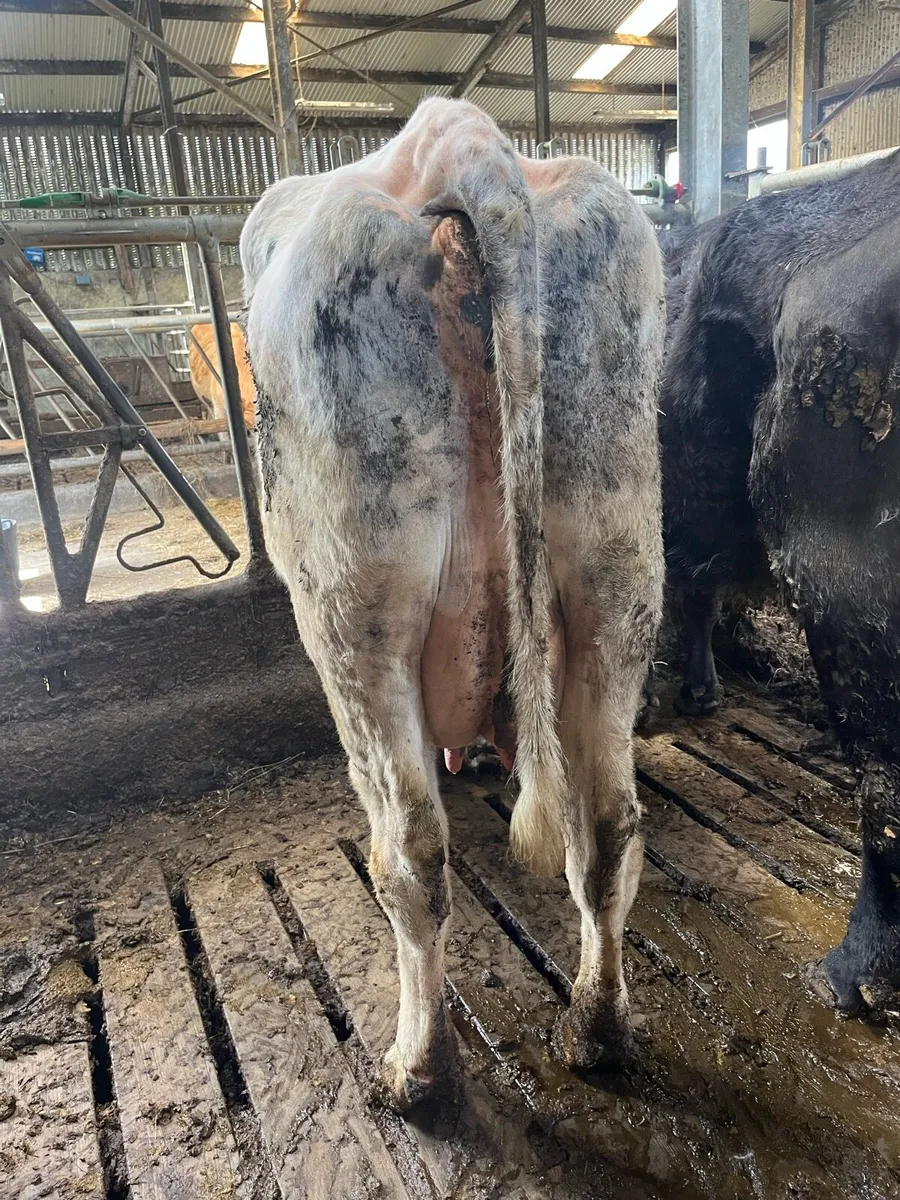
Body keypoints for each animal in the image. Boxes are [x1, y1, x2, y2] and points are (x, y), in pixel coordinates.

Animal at [241, 98, 665, 1108]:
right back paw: (595, 1028)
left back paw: (417, 1070)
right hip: (617, 569)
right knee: (606, 824)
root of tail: (463, 141)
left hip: (355, 613)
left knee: (411, 855)